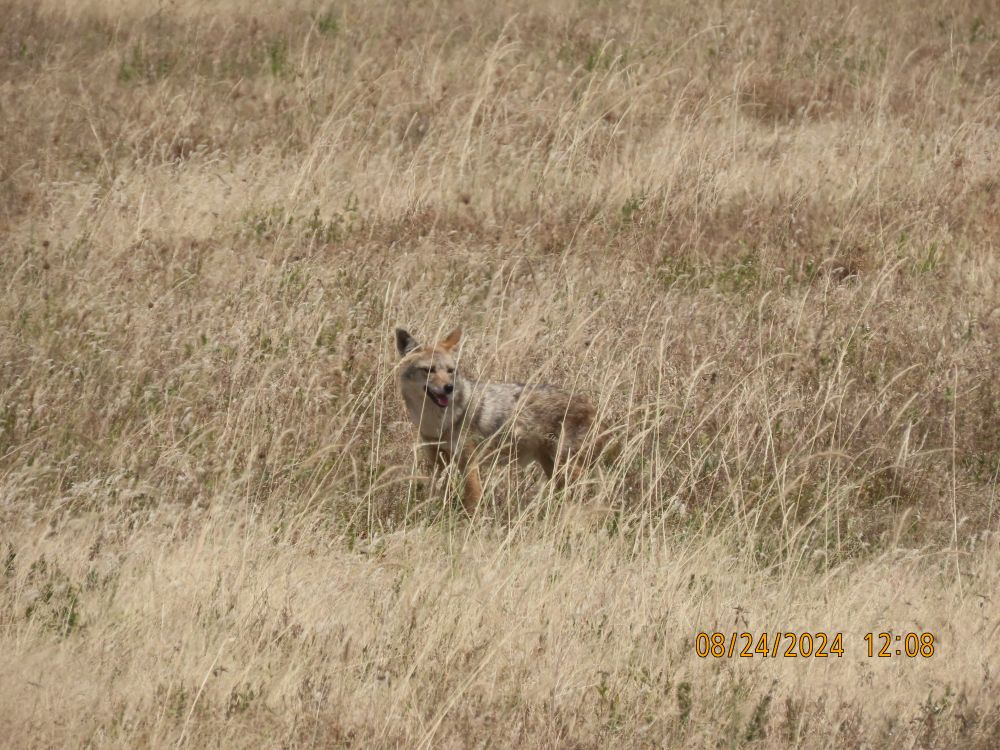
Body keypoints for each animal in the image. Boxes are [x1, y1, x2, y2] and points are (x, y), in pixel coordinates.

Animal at [394, 326, 606, 512]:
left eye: (450, 370)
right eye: (428, 370)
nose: (449, 388)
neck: (435, 423)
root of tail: (590, 403)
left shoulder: (468, 462)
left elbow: (473, 500)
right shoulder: (437, 462)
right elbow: (435, 493)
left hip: (565, 464)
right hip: (553, 467)